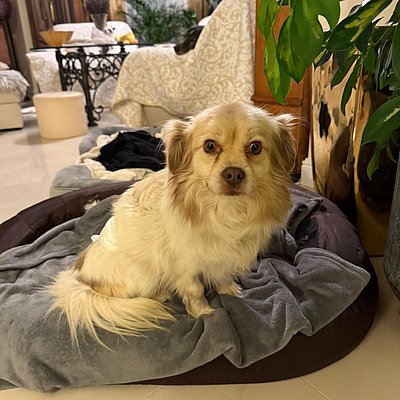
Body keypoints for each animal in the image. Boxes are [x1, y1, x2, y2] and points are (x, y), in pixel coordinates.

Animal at [46, 103, 296, 345]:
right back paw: (161, 295)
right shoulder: (184, 266)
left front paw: (229, 292)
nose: (234, 174)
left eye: (255, 147)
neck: (226, 210)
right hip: (145, 274)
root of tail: (80, 276)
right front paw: (204, 312)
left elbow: (222, 275)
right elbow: (195, 290)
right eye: (210, 146)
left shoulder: (222, 256)